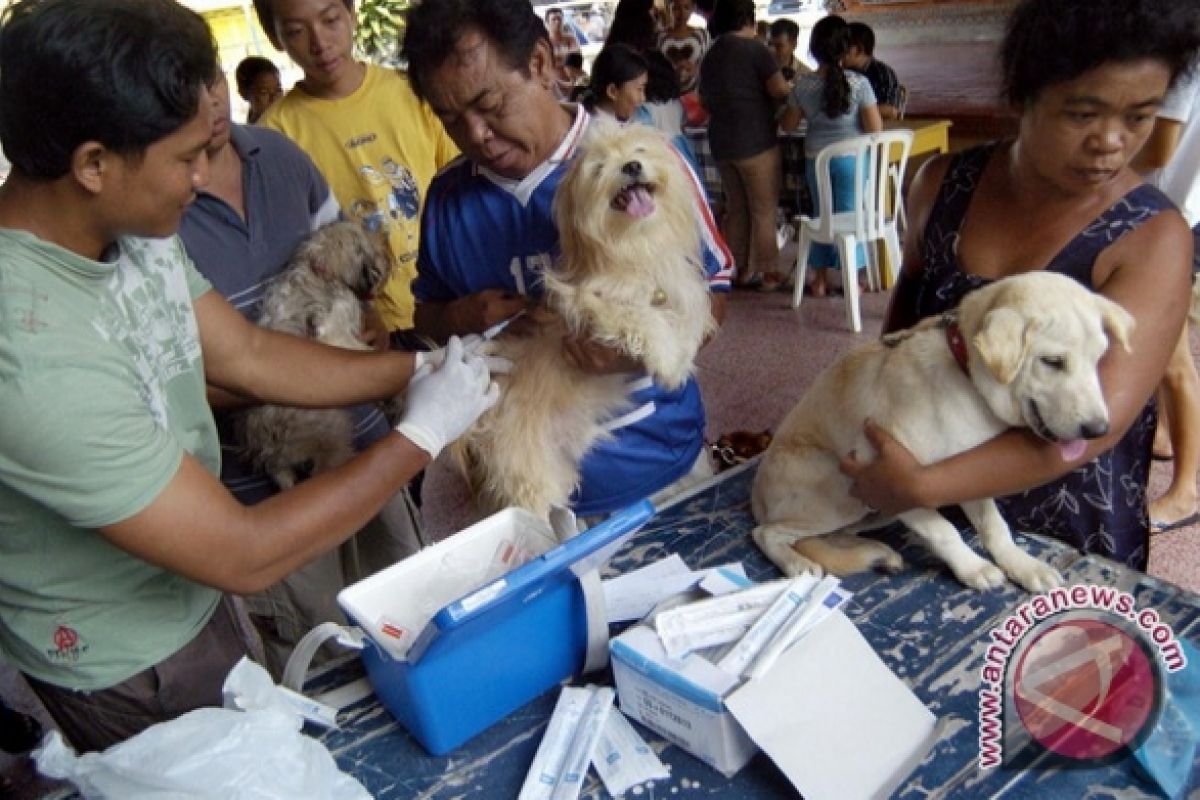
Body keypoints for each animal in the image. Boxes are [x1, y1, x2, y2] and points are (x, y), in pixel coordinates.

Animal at [231, 221, 386, 491]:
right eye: (364, 247)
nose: (384, 256)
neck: (320, 270)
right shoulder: (336, 334)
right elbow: (364, 352)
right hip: (333, 431)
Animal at [748, 272, 1132, 592]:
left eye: (1099, 359)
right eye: (1052, 362)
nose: (1098, 430)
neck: (965, 375)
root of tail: (756, 500)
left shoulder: (968, 474)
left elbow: (995, 527)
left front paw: (1022, 566)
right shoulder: (892, 481)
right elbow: (944, 530)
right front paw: (974, 568)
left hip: (866, 508)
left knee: (828, 536)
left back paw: (873, 552)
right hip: (839, 487)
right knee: (767, 533)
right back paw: (797, 563)